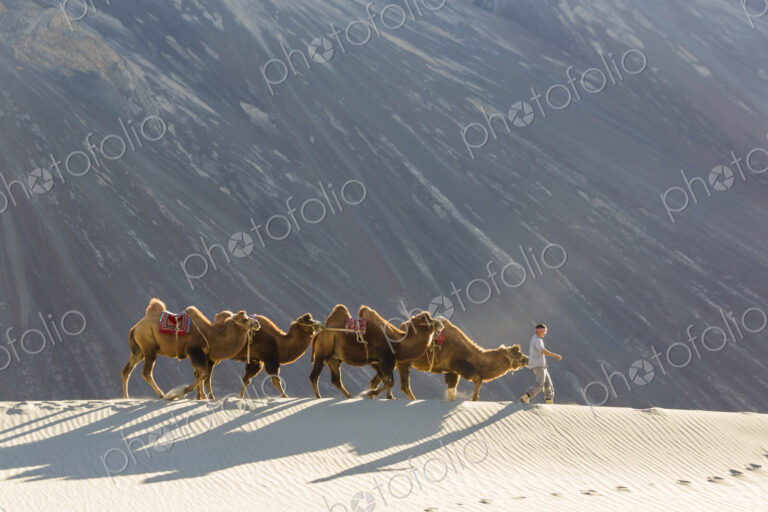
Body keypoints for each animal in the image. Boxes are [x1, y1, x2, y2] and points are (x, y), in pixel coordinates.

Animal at [121, 298, 260, 399]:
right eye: (245, 319)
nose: (257, 323)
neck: (212, 336)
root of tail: (135, 327)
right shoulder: (194, 351)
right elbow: (204, 374)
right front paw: (182, 392)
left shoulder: (201, 355)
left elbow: (199, 374)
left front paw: (200, 397)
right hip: (150, 348)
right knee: (146, 373)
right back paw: (162, 395)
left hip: (139, 350)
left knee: (126, 371)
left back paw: (126, 398)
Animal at [310, 305, 443, 399]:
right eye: (429, 320)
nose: (441, 324)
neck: (399, 343)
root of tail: (318, 334)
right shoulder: (387, 360)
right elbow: (389, 381)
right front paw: (388, 396)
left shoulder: (377, 362)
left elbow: (385, 381)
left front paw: (374, 394)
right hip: (323, 352)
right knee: (314, 376)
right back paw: (318, 397)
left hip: (334, 358)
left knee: (336, 379)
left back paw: (349, 396)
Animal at [369, 317, 529, 401]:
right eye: (516, 352)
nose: (527, 359)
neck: (472, 355)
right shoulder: (459, 366)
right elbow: (478, 379)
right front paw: (474, 399)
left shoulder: (452, 372)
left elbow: (452, 392)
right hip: (404, 361)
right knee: (403, 386)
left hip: (397, 360)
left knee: (380, 379)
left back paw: (372, 393)